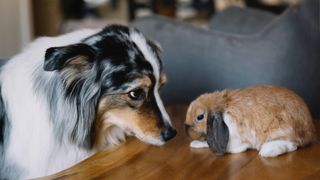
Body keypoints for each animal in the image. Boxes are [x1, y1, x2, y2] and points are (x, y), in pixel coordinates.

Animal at [184, 85, 316, 157]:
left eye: (200, 116)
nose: (186, 130)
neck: (222, 106)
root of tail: (309, 131)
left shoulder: (235, 142)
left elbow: (208, 144)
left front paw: (195, 144)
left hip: (282, 129)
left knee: (293, 145)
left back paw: (267, 151)